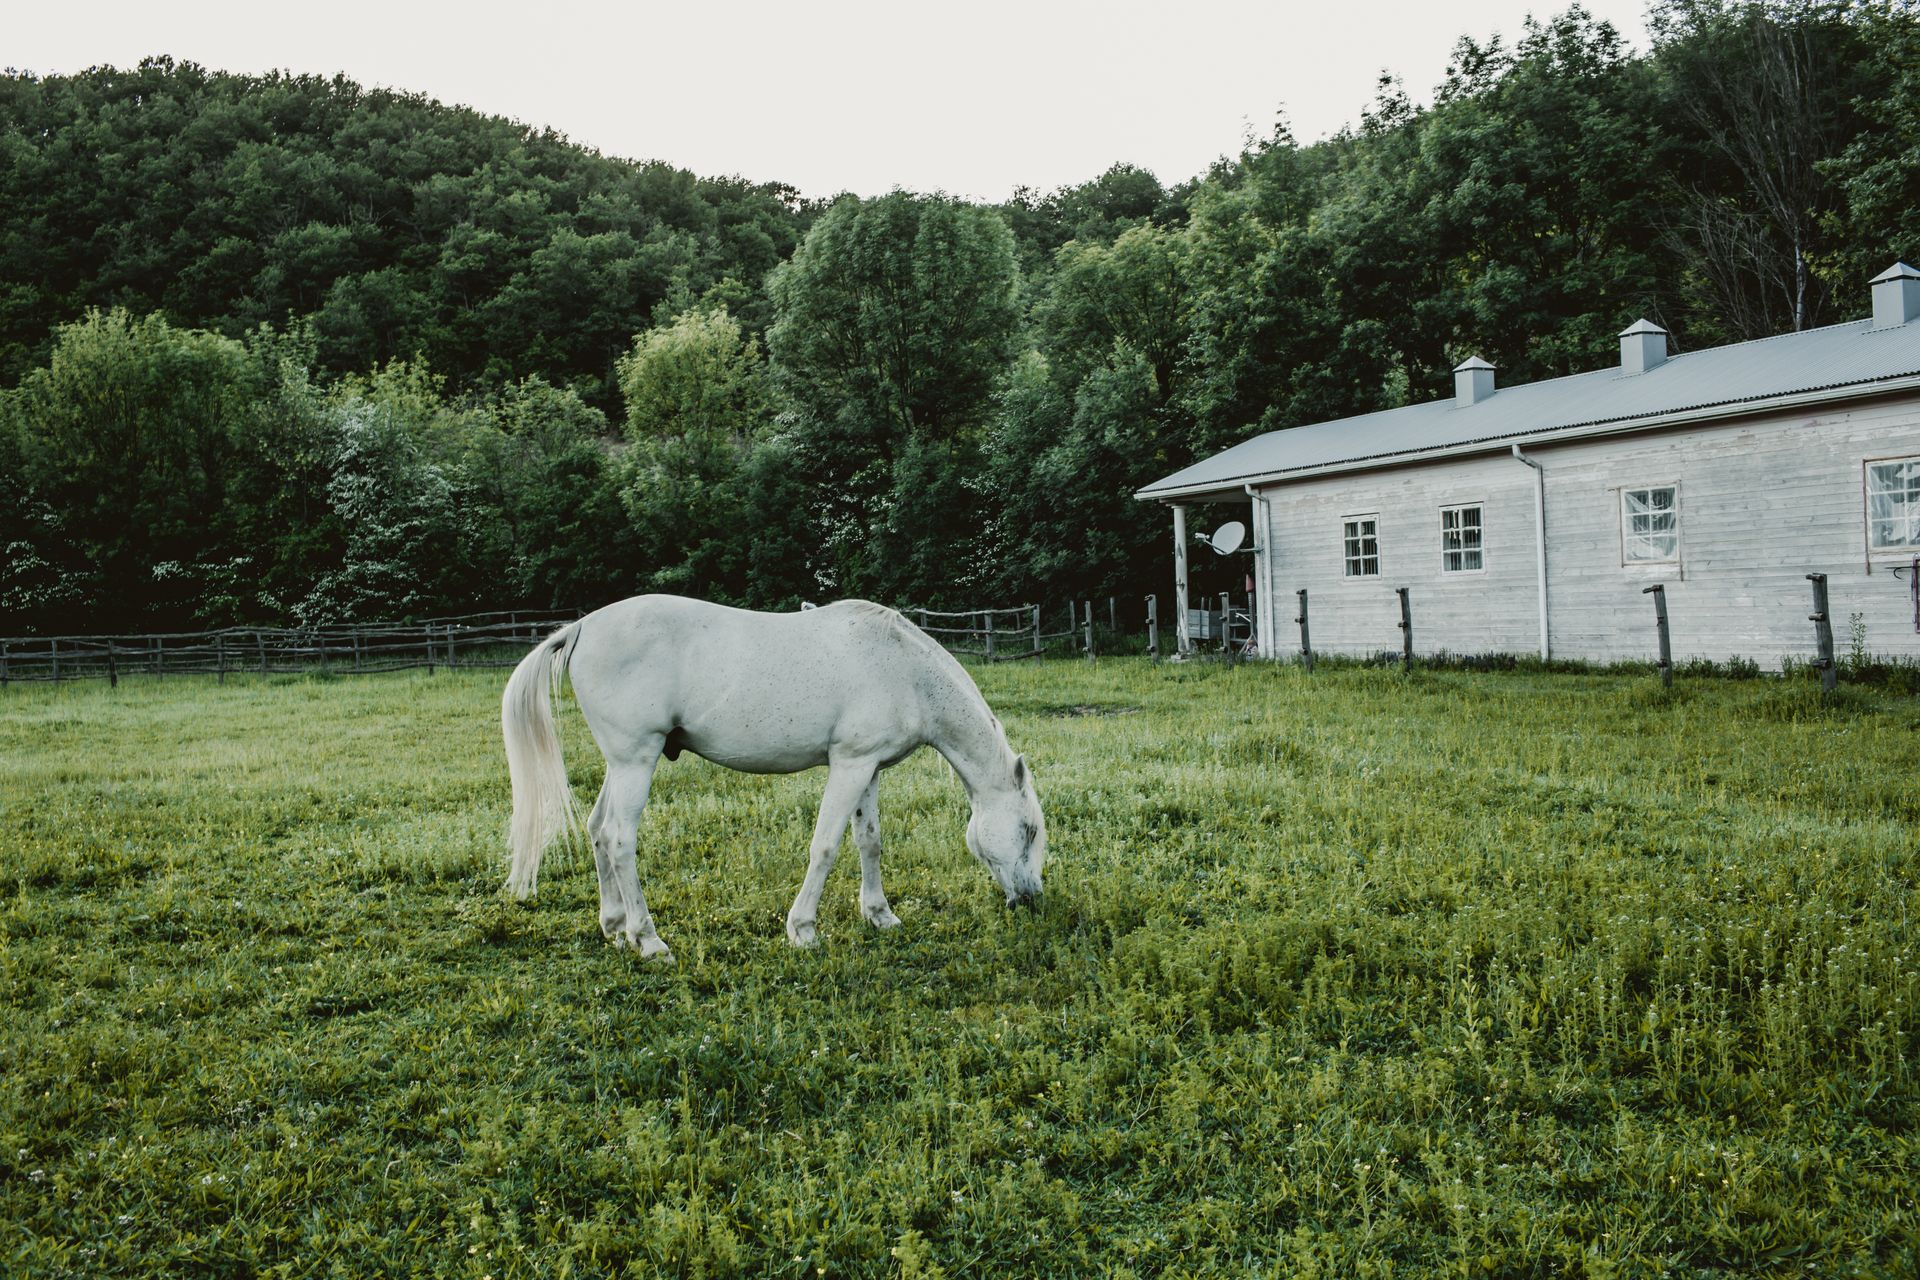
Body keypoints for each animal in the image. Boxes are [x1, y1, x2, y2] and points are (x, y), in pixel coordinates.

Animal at [500, 595, 1046, 960]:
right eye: (1030, 830)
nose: (1033, 899)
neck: (902, 669)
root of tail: (581, 627)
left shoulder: (866, 767)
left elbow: (868, 842)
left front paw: (880, 915)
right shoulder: (848, 766)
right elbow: (825, 846)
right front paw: (803, 929)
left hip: (622, 765)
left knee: (596, 830)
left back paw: (615, 926)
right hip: (636, 761)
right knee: (618, 839)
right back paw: (648, 939)